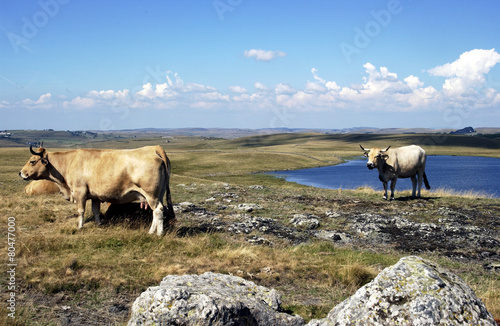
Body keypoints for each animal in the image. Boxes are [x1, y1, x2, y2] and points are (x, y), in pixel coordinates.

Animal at [19, 145, 175, 234]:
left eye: (32, 161)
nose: (21, 173)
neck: (69, 162)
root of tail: (154, 148)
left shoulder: (80, 192)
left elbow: (80, 211)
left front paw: (80, 227)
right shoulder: (95, 195)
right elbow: (95, 210)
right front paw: (99, 224)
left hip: (151, 194)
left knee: (158, 210)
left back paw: (158, 233)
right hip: (158, 194)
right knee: (156, 212)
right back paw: (152, 231)